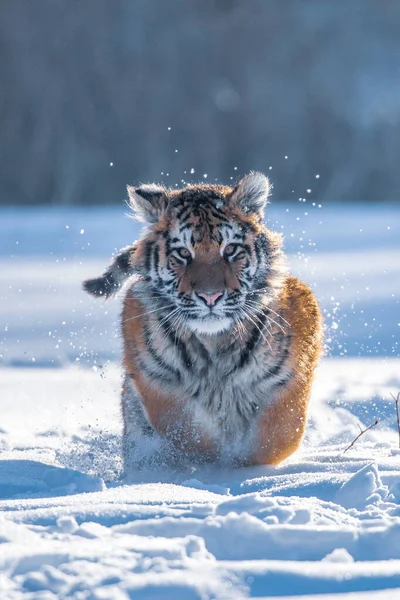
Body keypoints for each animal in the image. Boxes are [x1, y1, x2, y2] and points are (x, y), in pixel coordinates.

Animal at [83, 172, 322, 474]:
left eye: (230, 249)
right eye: (184, 253)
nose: (211, 296)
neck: (215, 342)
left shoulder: (292, 373)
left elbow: (279, 434)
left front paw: (242, 467)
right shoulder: (155, 378)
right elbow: (186, 431)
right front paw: (211, 465)